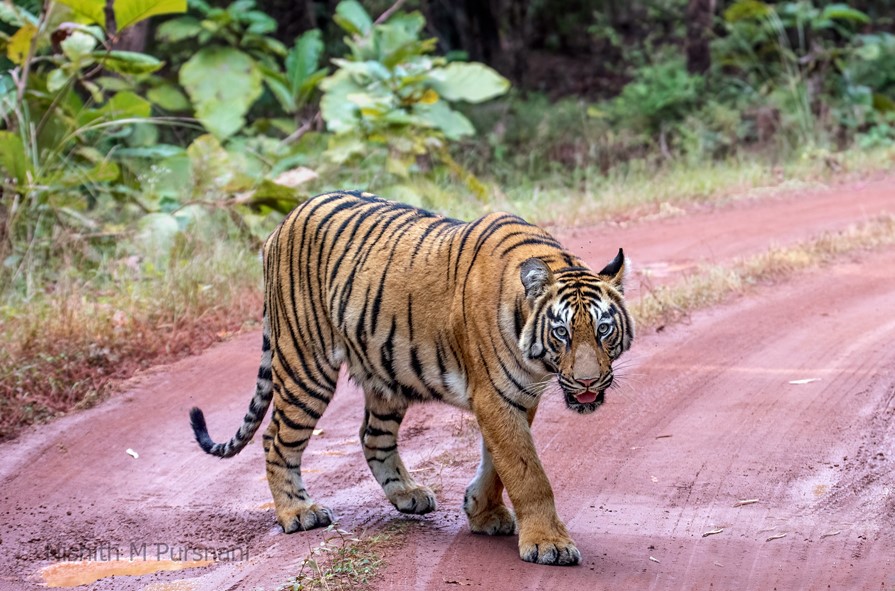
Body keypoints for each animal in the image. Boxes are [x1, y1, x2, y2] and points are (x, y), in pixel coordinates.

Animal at [189, 190, 633, 566]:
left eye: (603, 330)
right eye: (561, 333)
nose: (589, 383)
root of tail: (282, 223)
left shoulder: (517, 398)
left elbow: (498, 463)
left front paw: (483, 512)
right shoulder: (496, 397)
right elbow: (527, 472)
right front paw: (548, 543)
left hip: (386, 370)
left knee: (373, 436)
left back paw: (407, 494)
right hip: (306, 366)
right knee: (276, 438)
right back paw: (297, 512)